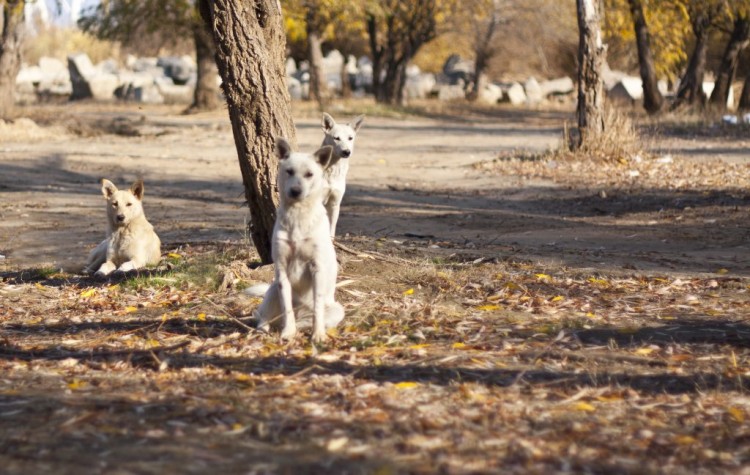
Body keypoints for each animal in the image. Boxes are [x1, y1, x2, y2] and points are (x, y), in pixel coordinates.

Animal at [245, 138, 346, 342]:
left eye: (309, 174)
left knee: (310, 318)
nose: (295, 191)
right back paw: (265, 330)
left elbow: (317, 307)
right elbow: (287, 308)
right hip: (273, 291)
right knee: (263, 317)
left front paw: (318, 335)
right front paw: (288, 333)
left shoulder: (317, 268)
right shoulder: (282, 269)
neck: (298, 215)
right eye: (289, 171)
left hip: (337, 309)